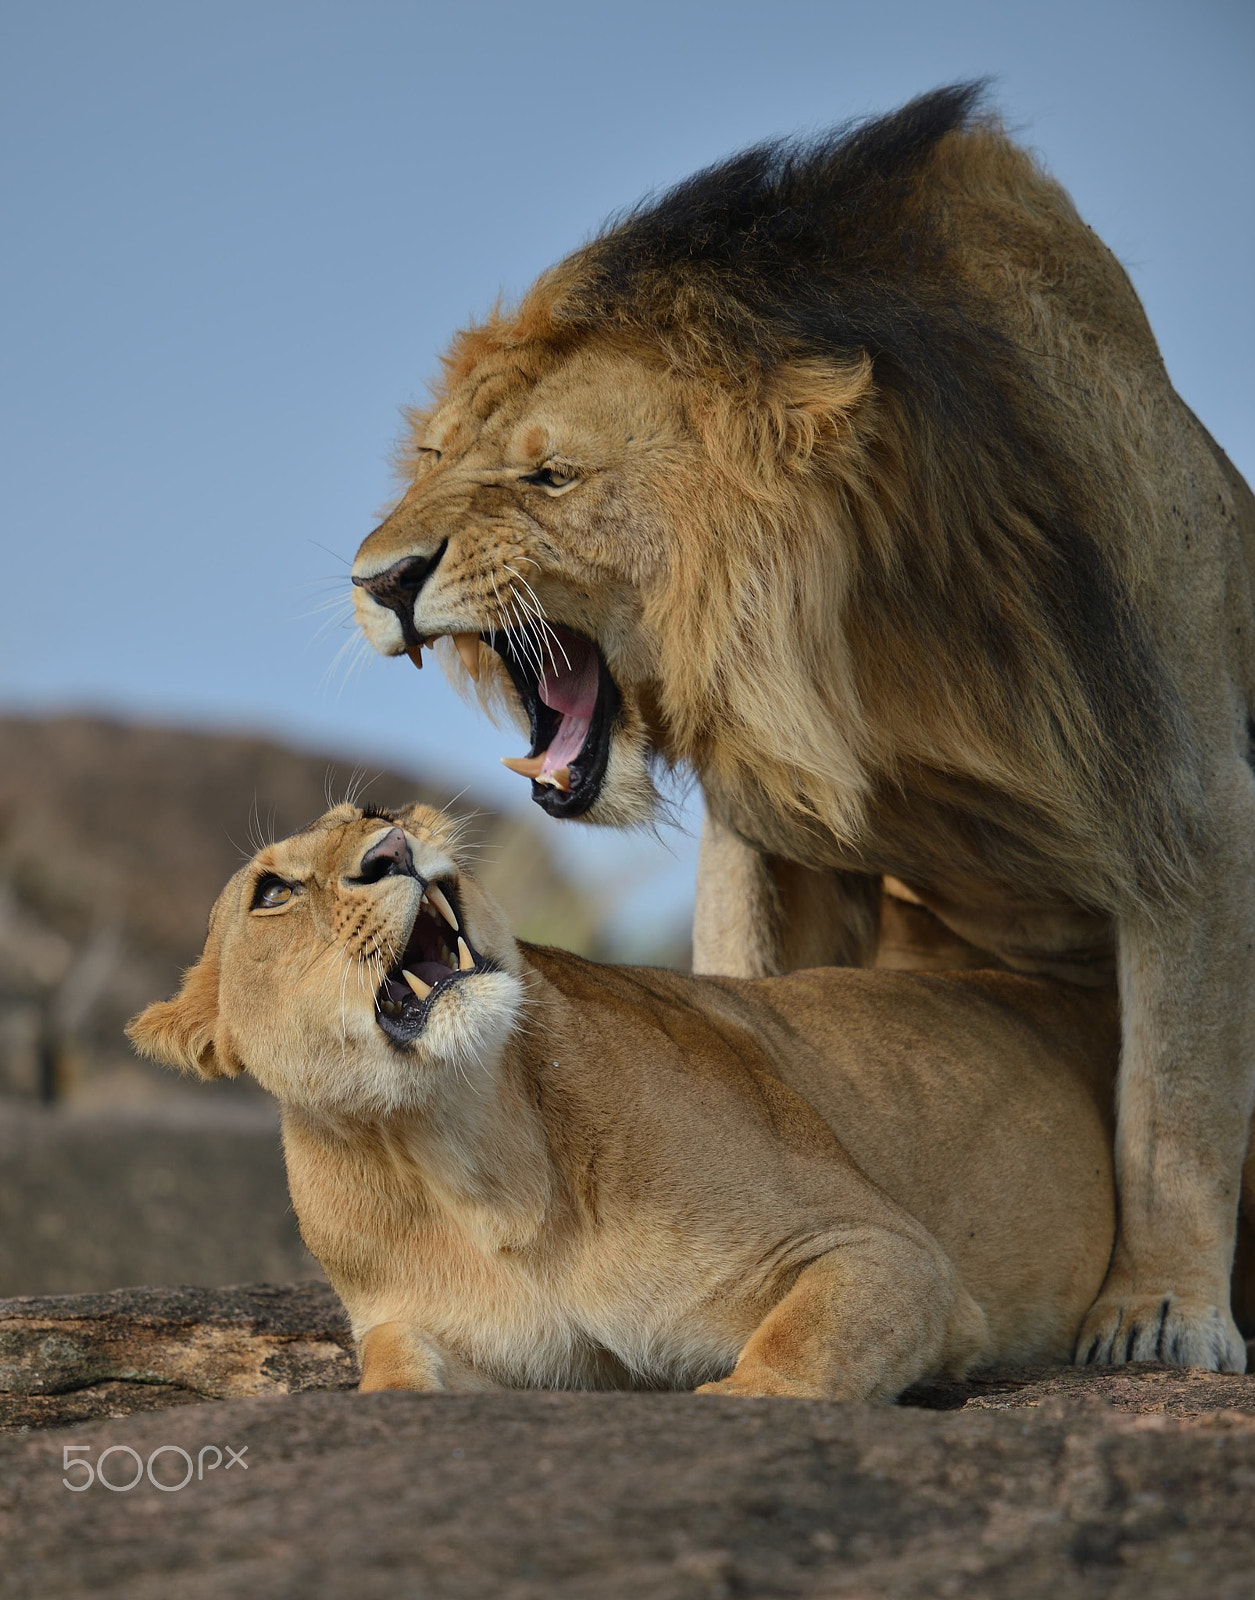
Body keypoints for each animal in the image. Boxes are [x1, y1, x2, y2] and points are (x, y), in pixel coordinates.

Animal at [127, 806, 1255, 1395]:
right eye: (274, 891)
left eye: (376, 818)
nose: (396, 850)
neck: (457, 1148)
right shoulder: (426, 1322)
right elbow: (396, 1366)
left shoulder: (887, 1252)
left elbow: (792, 1359)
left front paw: (739, 1397)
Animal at [347, 84, 1255, 1376]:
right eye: (430, 459)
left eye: (550, 478)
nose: (376, 582)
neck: (863, 636)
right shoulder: (771, 832)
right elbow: (746, 994)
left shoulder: (1185, 800)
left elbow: (1178, 1100)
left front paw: (1160, 1314)